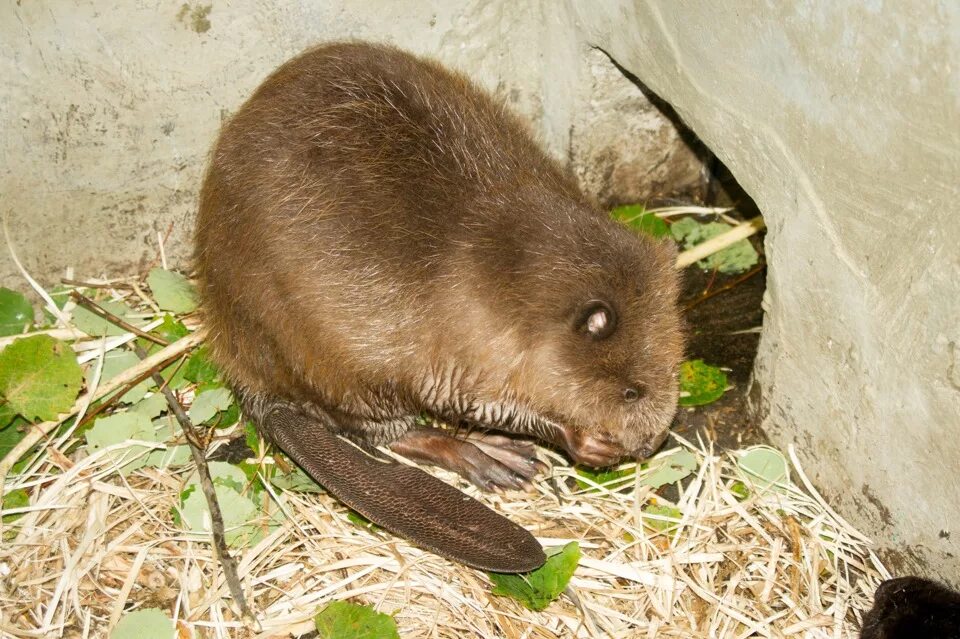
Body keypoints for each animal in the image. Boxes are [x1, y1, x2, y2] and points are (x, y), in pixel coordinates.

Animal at [193, 40, 684, 572]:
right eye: (631, 391)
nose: (649, 445)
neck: (511, 271)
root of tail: (254, 386)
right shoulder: (467, 345)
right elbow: (478, 402)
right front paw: (582, 442)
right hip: (345, 371)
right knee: (382, 431)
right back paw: (495, 459)